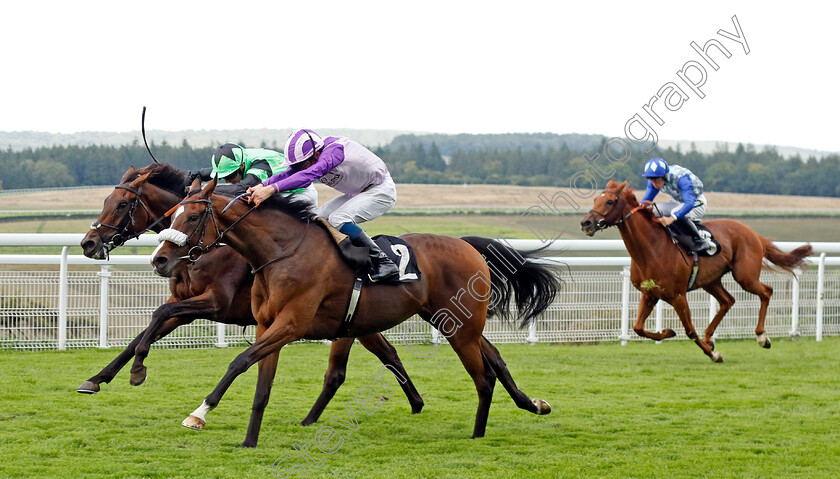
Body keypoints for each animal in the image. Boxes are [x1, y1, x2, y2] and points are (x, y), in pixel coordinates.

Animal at [76, 163, 424, 426]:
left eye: (122, 204)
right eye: (107, 200)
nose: (88, 243)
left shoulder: (214, 304)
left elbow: (157, 316)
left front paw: (137, 372)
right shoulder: (183, 303)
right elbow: (145, 331)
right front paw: (98, 378)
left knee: (374, 358)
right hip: (358, 322)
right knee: (389, 353)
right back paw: (416, 403)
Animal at [151, 178, 556, 448]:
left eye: (192, 218)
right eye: (172, 214)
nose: (160, 259)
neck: (282, 253)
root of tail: (468, 246)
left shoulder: (291, 324)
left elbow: (238, 362)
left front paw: (199, 413)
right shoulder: (268, 325)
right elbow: (262, 384)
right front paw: (250, 440)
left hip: (458, 326)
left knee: (483, 376)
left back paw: (477, 433)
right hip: (450, 320)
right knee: (495, 358)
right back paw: (533, 404)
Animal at [580, 179, 812, 360]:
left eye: (610, 201)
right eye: (595, 199)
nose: (586, 222)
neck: (652, 248)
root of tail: (753, 233)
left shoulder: (678, 295)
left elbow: (690, 330)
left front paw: (714, 355)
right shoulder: (650, 293)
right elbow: (638, 328)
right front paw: (668, 332)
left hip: (745, 276)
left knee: (766, 291)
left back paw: (761, 337)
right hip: (711, 280)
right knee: (728, 301)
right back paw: (709, 337)